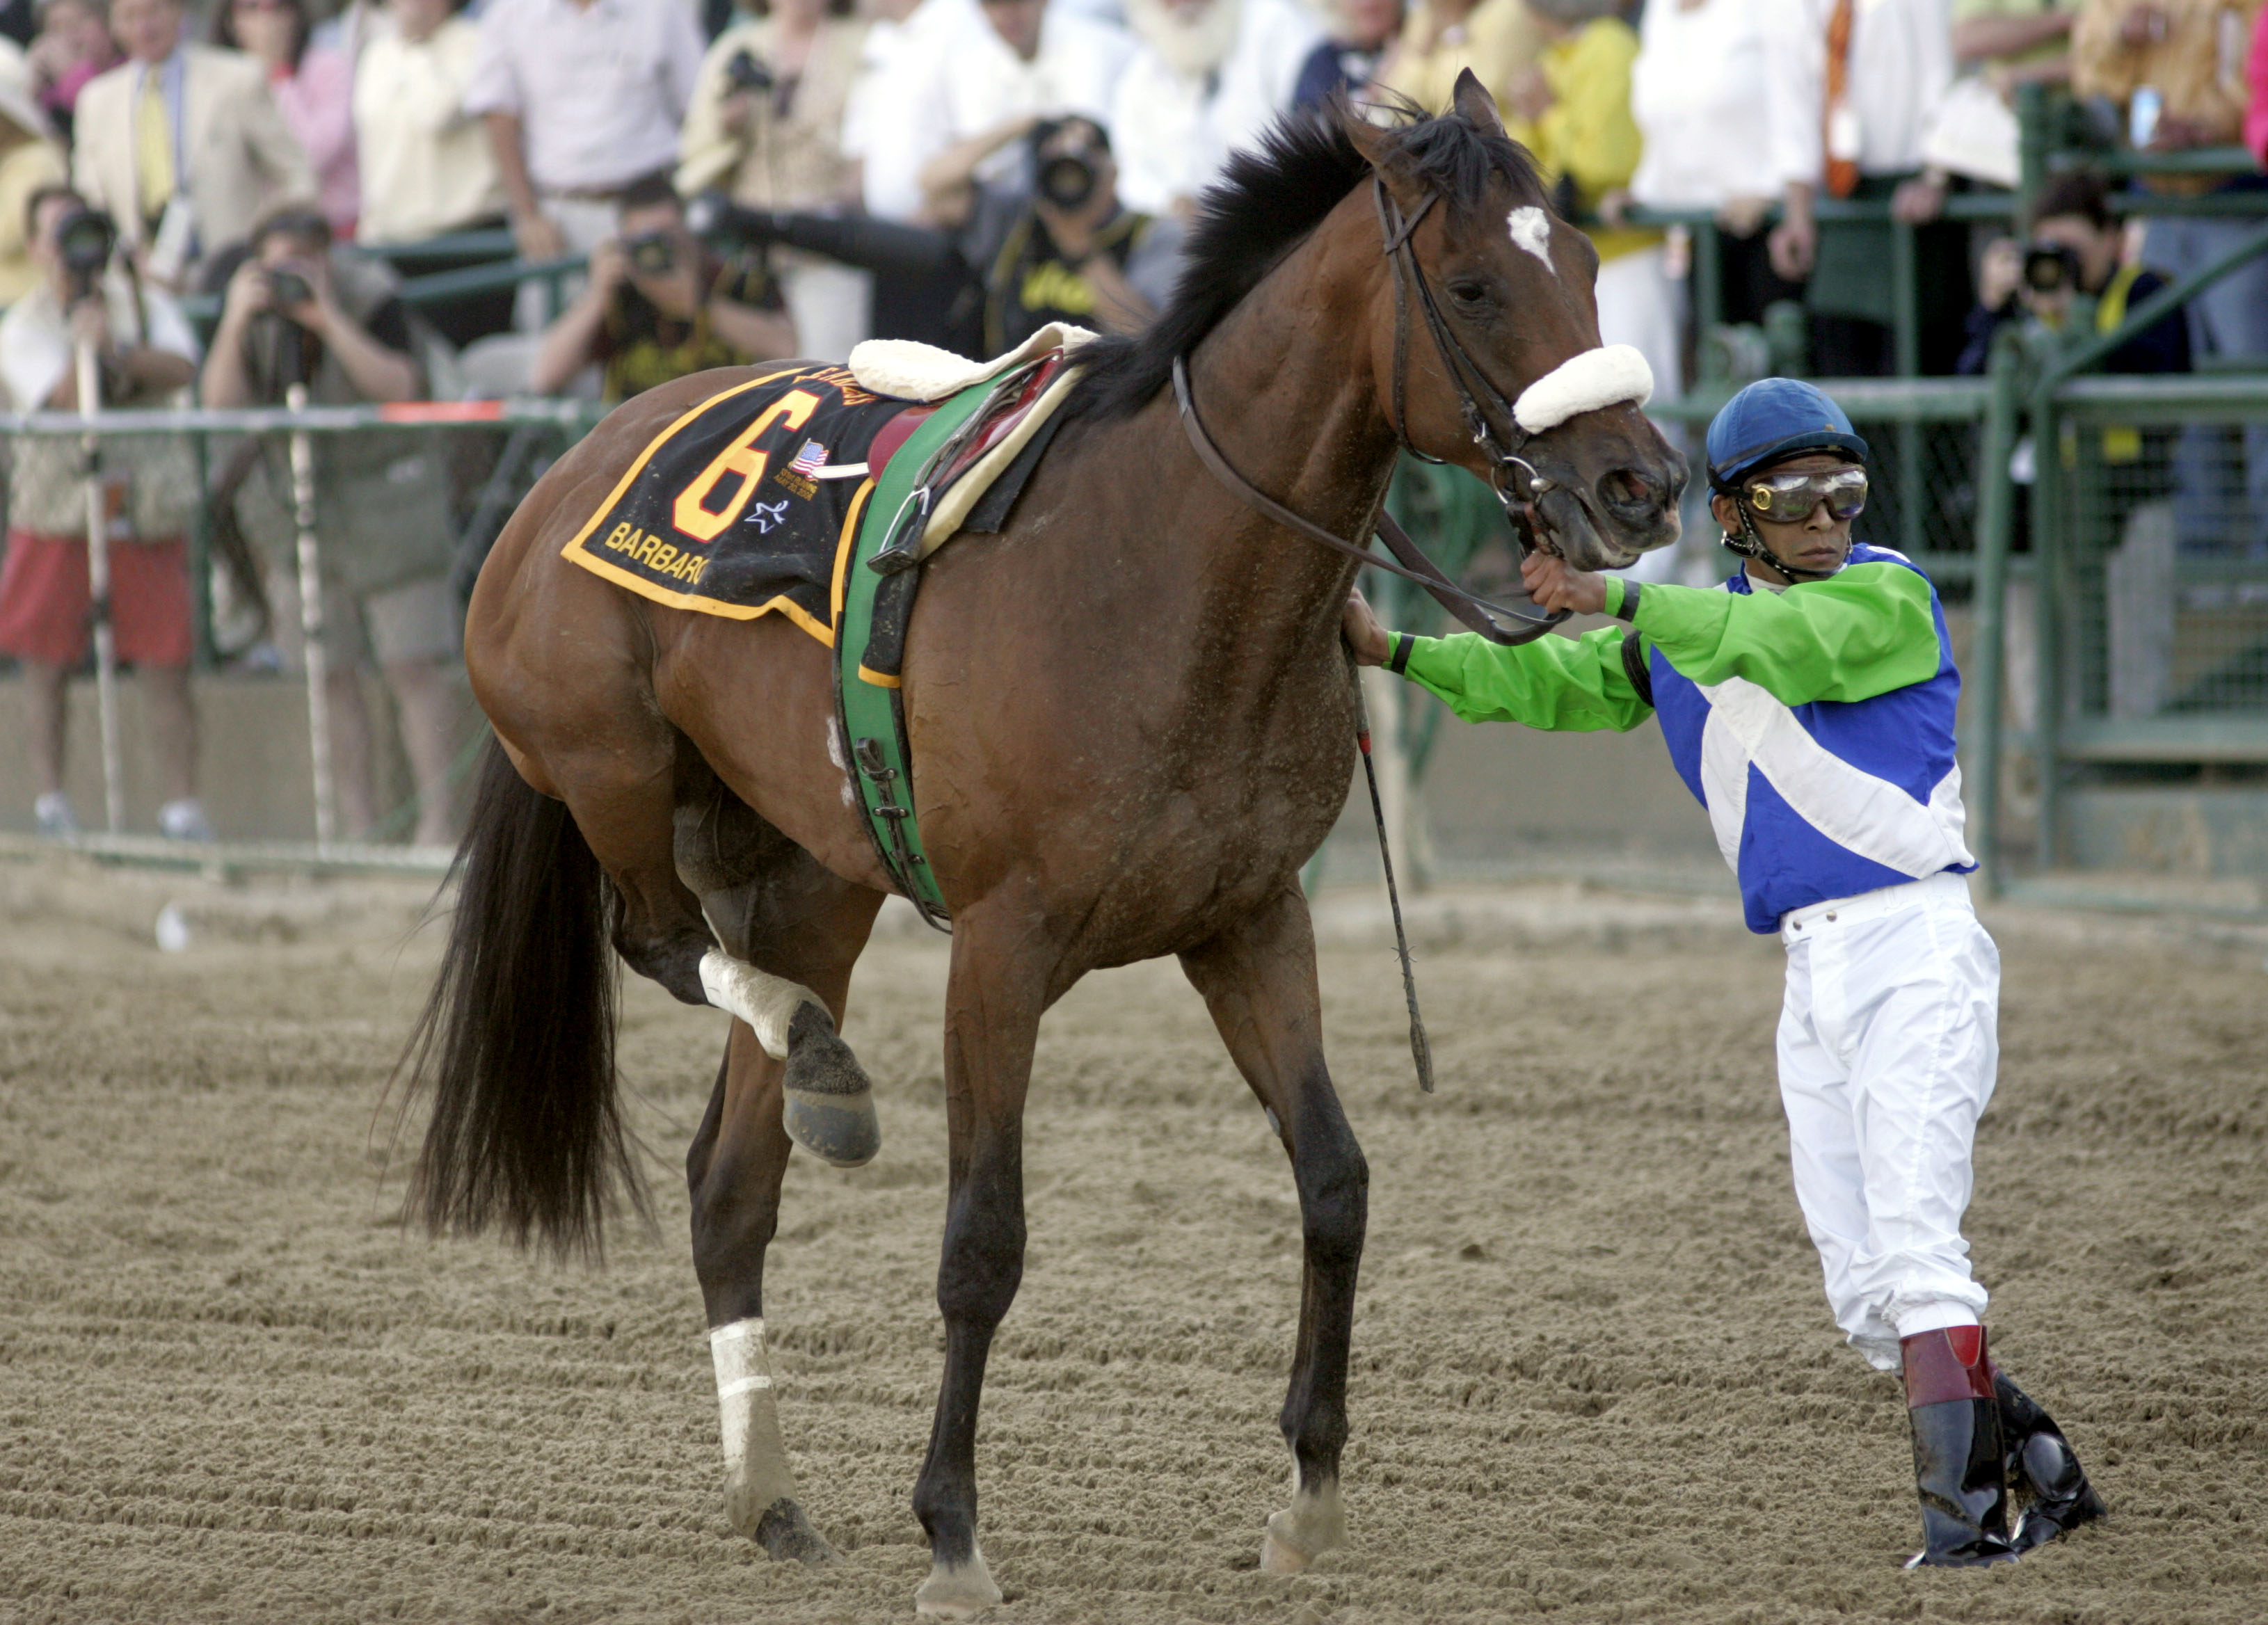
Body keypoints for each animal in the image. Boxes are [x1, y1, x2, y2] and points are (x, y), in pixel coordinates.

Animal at [406, 78, 1685, 1619]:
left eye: (1592, 261)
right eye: (1478, 282)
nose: (1640, 483)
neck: (1162, 569)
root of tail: (562, 473)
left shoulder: (1250, 918)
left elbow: (1334, 1181)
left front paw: (1309, 1498)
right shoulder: (1002, 950)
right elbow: (983, 1241)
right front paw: (953, 1532)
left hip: (808, 883)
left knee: (730, 1181)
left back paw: (773, 1480)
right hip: (609, 766)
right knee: (656, 940)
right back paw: (827, 1077)